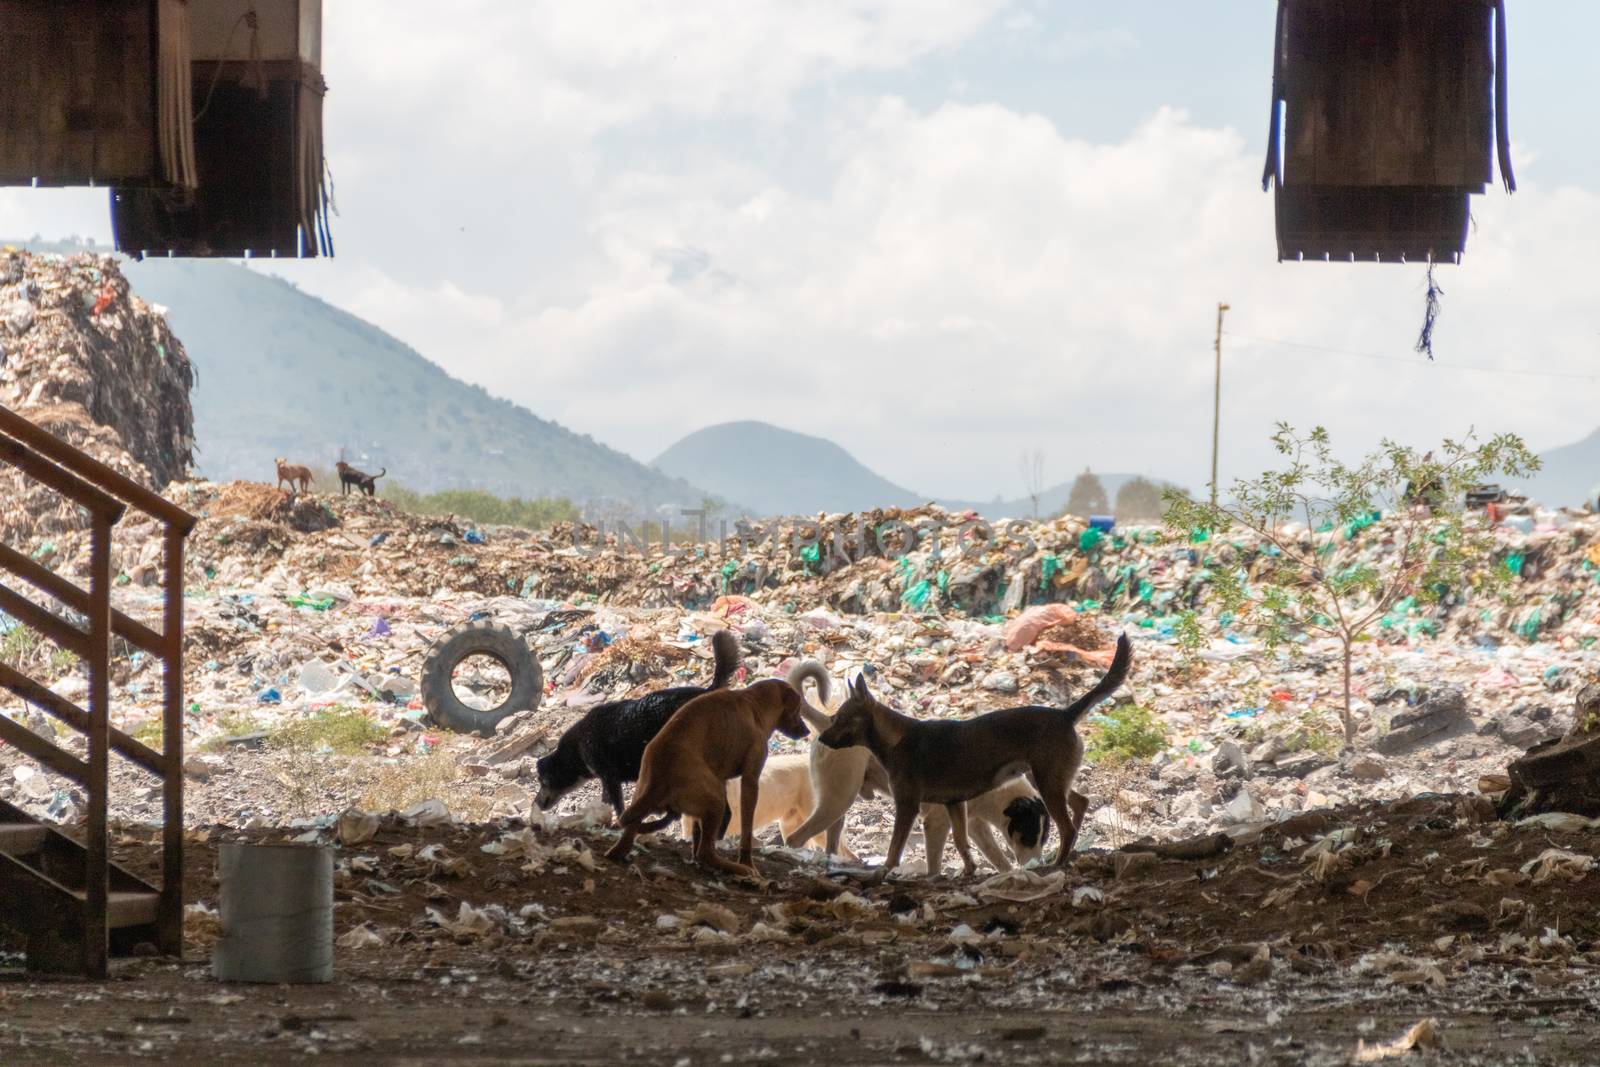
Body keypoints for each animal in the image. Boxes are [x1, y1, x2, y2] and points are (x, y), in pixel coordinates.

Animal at [534, 627, 739, 819]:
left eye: (543, 781)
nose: (535, 804)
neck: (575, 752)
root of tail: (708, 691)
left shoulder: (609, 776)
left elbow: (616, 805)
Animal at [601, 681, 812, 883]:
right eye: (798, 709)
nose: (807, 731)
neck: (754, 703)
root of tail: (658, 777)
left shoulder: (720, 778)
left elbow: (699, 829)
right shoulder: (750, 781)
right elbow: (746, 831)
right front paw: (746, 861)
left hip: (645, 793)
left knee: (631, 831)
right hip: (715, 800)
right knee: (706, 852)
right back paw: (738, 868)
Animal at [812, 633, 1139, 883]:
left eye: (840, 718)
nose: (821, 738)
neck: (895, 737)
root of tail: (1065, 714)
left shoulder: (907, 805)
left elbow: (895, 847)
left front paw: (883, 872)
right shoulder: (955, 804)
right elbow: (961, 842)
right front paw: (968, 870)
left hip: (1047, 783)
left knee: (1067, 825)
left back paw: (1059, 861)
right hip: (1047, 779)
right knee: (1080, 802)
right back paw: (1069, 852)